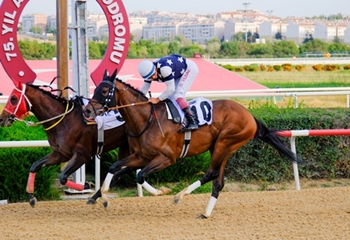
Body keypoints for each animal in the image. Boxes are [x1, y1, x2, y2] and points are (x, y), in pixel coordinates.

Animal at [0, 80, 133, 206]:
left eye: (13, 98)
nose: (2, 119)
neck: (64, 120)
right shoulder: (61, 153)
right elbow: (35, 166)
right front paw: (31, 197)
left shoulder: (82, 155)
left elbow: (62, 177)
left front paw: (86, 185)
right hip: (126, 145)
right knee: (119, 172)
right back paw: (94, 198)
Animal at [85, 69, 304, 218]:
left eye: (105, 90)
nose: (87, 110)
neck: (147, 119)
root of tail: (249, 115)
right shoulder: (141, 156)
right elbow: (115, 168)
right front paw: (102, 198)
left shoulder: (167, 158)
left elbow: (139, 176)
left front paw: (162, 192)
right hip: (223, 148)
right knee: (218, 181)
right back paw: (205, 213)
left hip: (225, 143)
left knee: (212, 173)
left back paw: (179, 196)